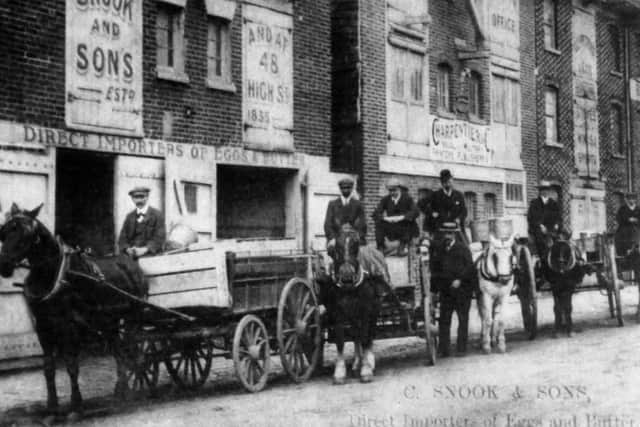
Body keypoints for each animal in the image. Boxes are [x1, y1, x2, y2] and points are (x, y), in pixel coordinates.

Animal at [0, 204, 146, 422]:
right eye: (4, 230)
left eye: (26, 234)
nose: (4, 265)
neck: (54, 275)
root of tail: (131, 264)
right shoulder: (43, 328)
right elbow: (48, 368)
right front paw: (52, 409)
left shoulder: (70, 328)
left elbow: (71, 366)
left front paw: (76, 407)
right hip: (109, 322)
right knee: (119, 351)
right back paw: (120, 391)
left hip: (132, 318)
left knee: (131, 351)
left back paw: (130, 390)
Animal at [322, 226, 388, 386]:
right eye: (335, 249)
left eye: (356, 246)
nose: (346, 277)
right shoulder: (337, 312)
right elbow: (341, 341)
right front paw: (339, 373)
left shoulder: (366, 310)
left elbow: (365, 337)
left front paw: (366, 370)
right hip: (353, 314)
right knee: (356, 333)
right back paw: (357, 361)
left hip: (374, 309)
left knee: (369, 333)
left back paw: (369, 360)